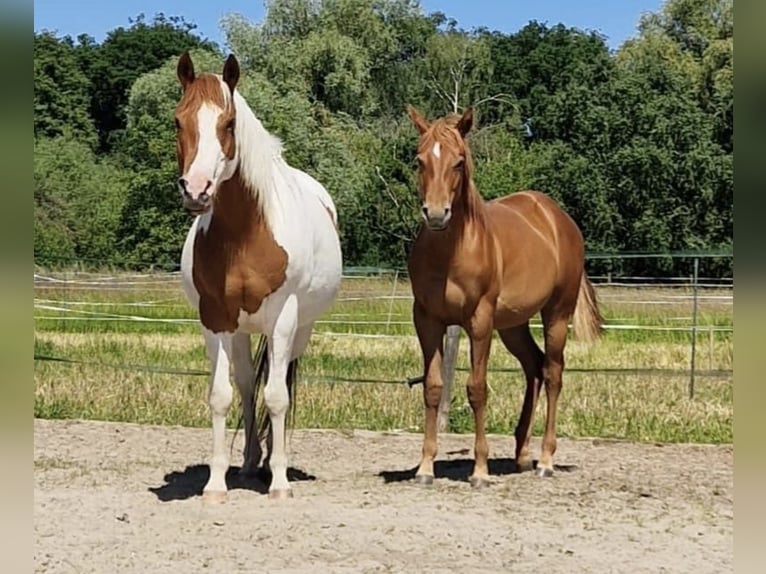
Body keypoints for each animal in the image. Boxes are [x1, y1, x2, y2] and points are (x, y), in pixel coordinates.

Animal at [176, 54, 344, 502]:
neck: (245, 234)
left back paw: (271, 463)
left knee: (278, 383)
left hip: (298, 329)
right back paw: (252, 463)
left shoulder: (283, 318)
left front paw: (280, 481)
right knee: (249, 385)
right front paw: (215, 483)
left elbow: (278, 397)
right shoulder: (215, 320)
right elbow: (222, 395)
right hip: (240, 331)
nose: (196, 191)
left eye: (229, 123)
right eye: (178, 121)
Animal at [404, 106, 604, 488]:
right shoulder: (427, 320)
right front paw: (424, 468)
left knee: (553, 372)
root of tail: (558, 217)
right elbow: (433, 387)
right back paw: (522, 455)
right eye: (419, 160)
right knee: (535, 367)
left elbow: (477, 388)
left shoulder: (479, 321)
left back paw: (545, 460)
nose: (436, 214)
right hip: (513, 325)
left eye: (459, 162)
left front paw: (480, 471)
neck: (450, 253)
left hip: (556, 314)